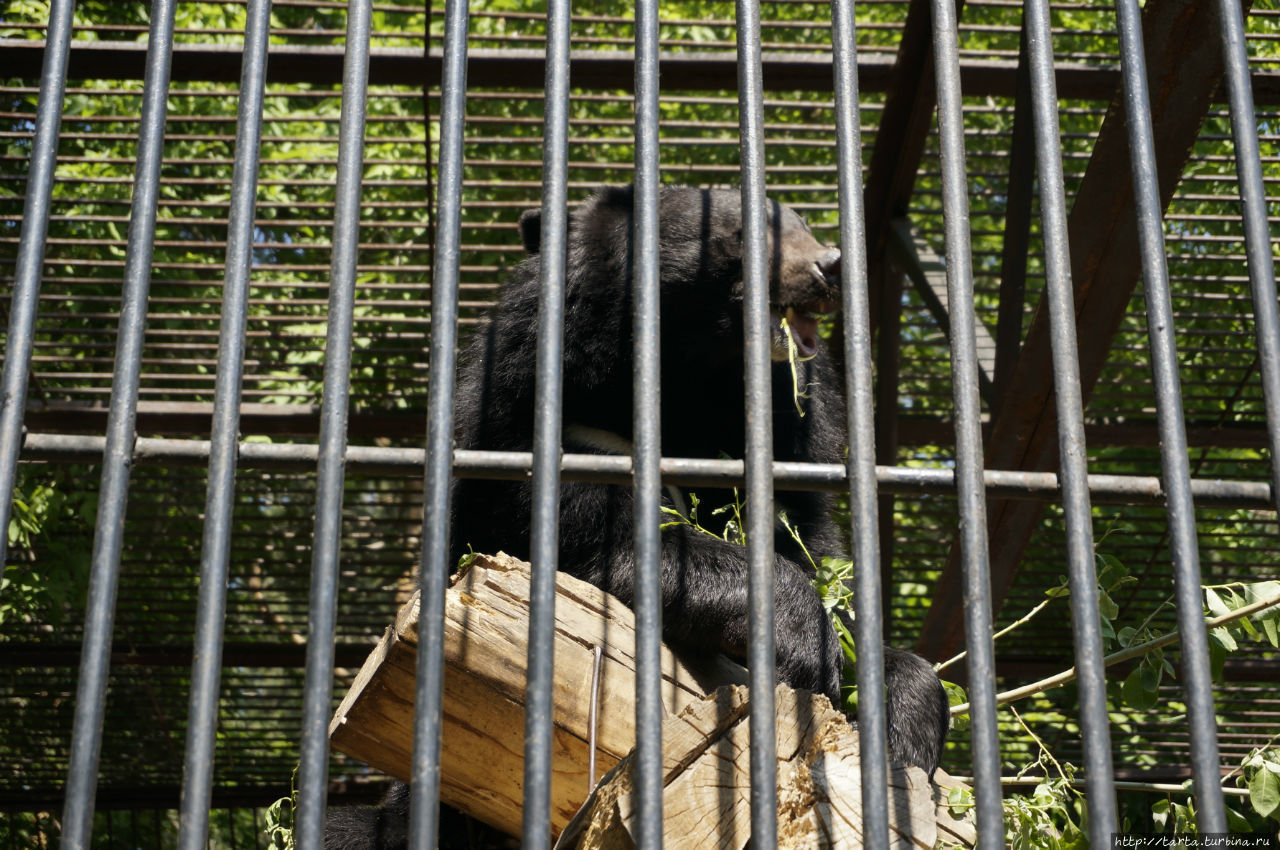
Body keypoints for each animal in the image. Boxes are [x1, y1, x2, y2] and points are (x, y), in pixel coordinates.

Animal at [325, 184, 952, 844]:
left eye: (804, 226)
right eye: (740, 233)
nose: (831, 267)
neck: (693, 391)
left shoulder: (791, 460)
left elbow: (824, 569)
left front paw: (901, 725)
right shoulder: (558, 431)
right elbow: (616, 549)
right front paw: (801, 642)